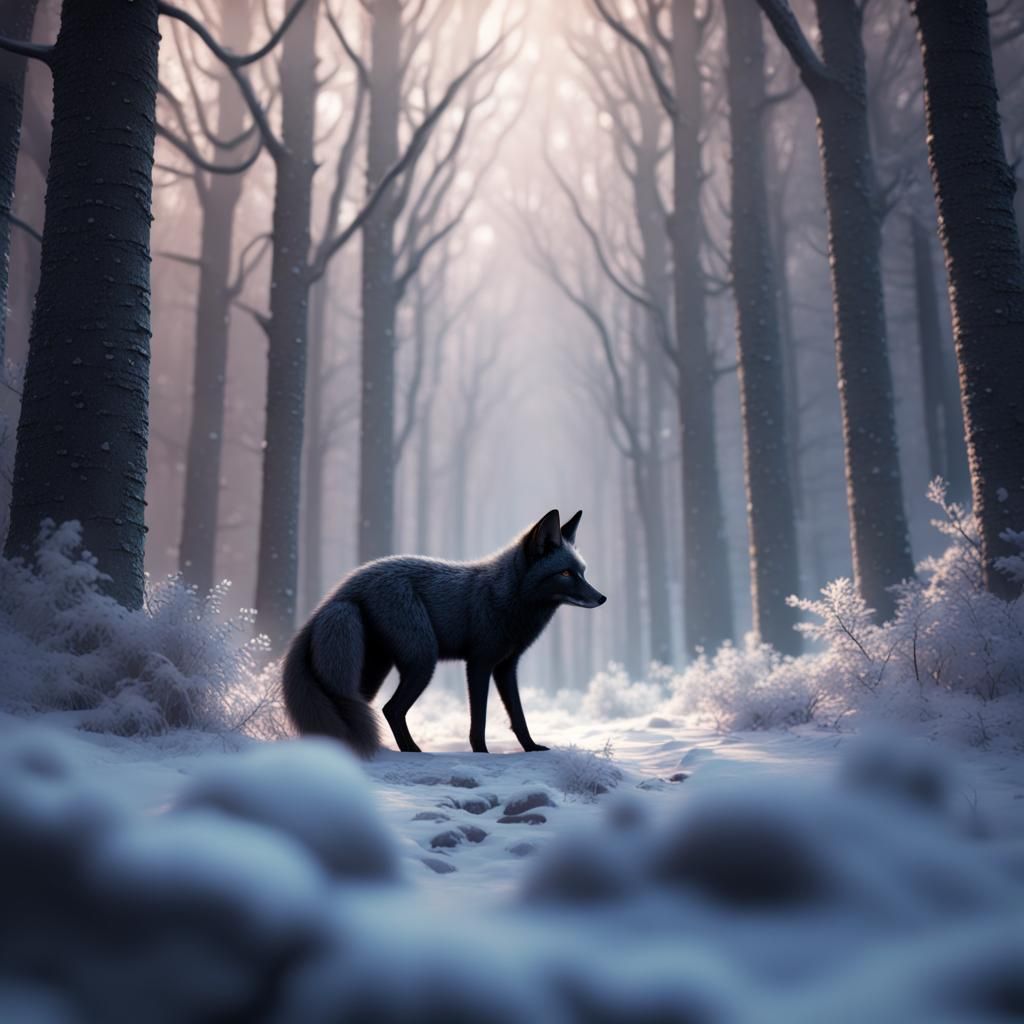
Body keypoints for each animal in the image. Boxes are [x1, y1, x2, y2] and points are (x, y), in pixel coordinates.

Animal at [282, 509, 606, 756]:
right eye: (565, 573)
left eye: (583, 572)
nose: (602, 598)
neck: (506, 596)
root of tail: (344, 588)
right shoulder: (479, 663)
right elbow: (479, 720)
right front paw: (482, 754)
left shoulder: (506, 667)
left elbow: (518, 715)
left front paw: (531, 747)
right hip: (422, 661)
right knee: (391, 709)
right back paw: (411, 751)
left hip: (377, 669)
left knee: (366, 706)